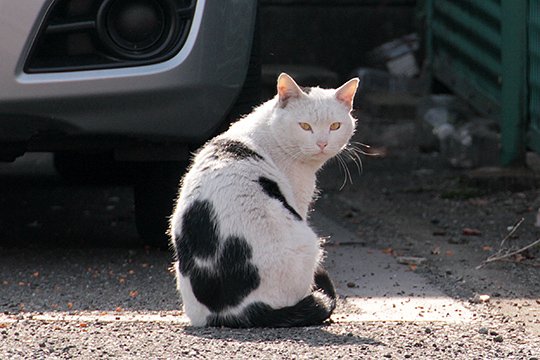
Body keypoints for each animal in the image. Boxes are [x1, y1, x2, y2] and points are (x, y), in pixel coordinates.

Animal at [170, 72, 358, 326]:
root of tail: (235, 312)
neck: (270, 130)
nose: (322, 143)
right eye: (305, 126)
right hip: (307, 242)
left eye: (335, 126)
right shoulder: (298, 199)